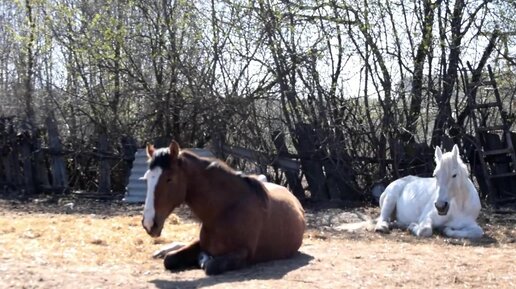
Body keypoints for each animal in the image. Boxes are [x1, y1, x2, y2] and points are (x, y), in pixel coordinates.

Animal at [139, 141, 304, 274]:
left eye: (169, 179)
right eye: (146, 179)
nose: (149, 223)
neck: (224, 210)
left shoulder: (243, 253)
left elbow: (211, 266)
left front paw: (204, 259)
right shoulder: (201, 243)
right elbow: (169, 260)